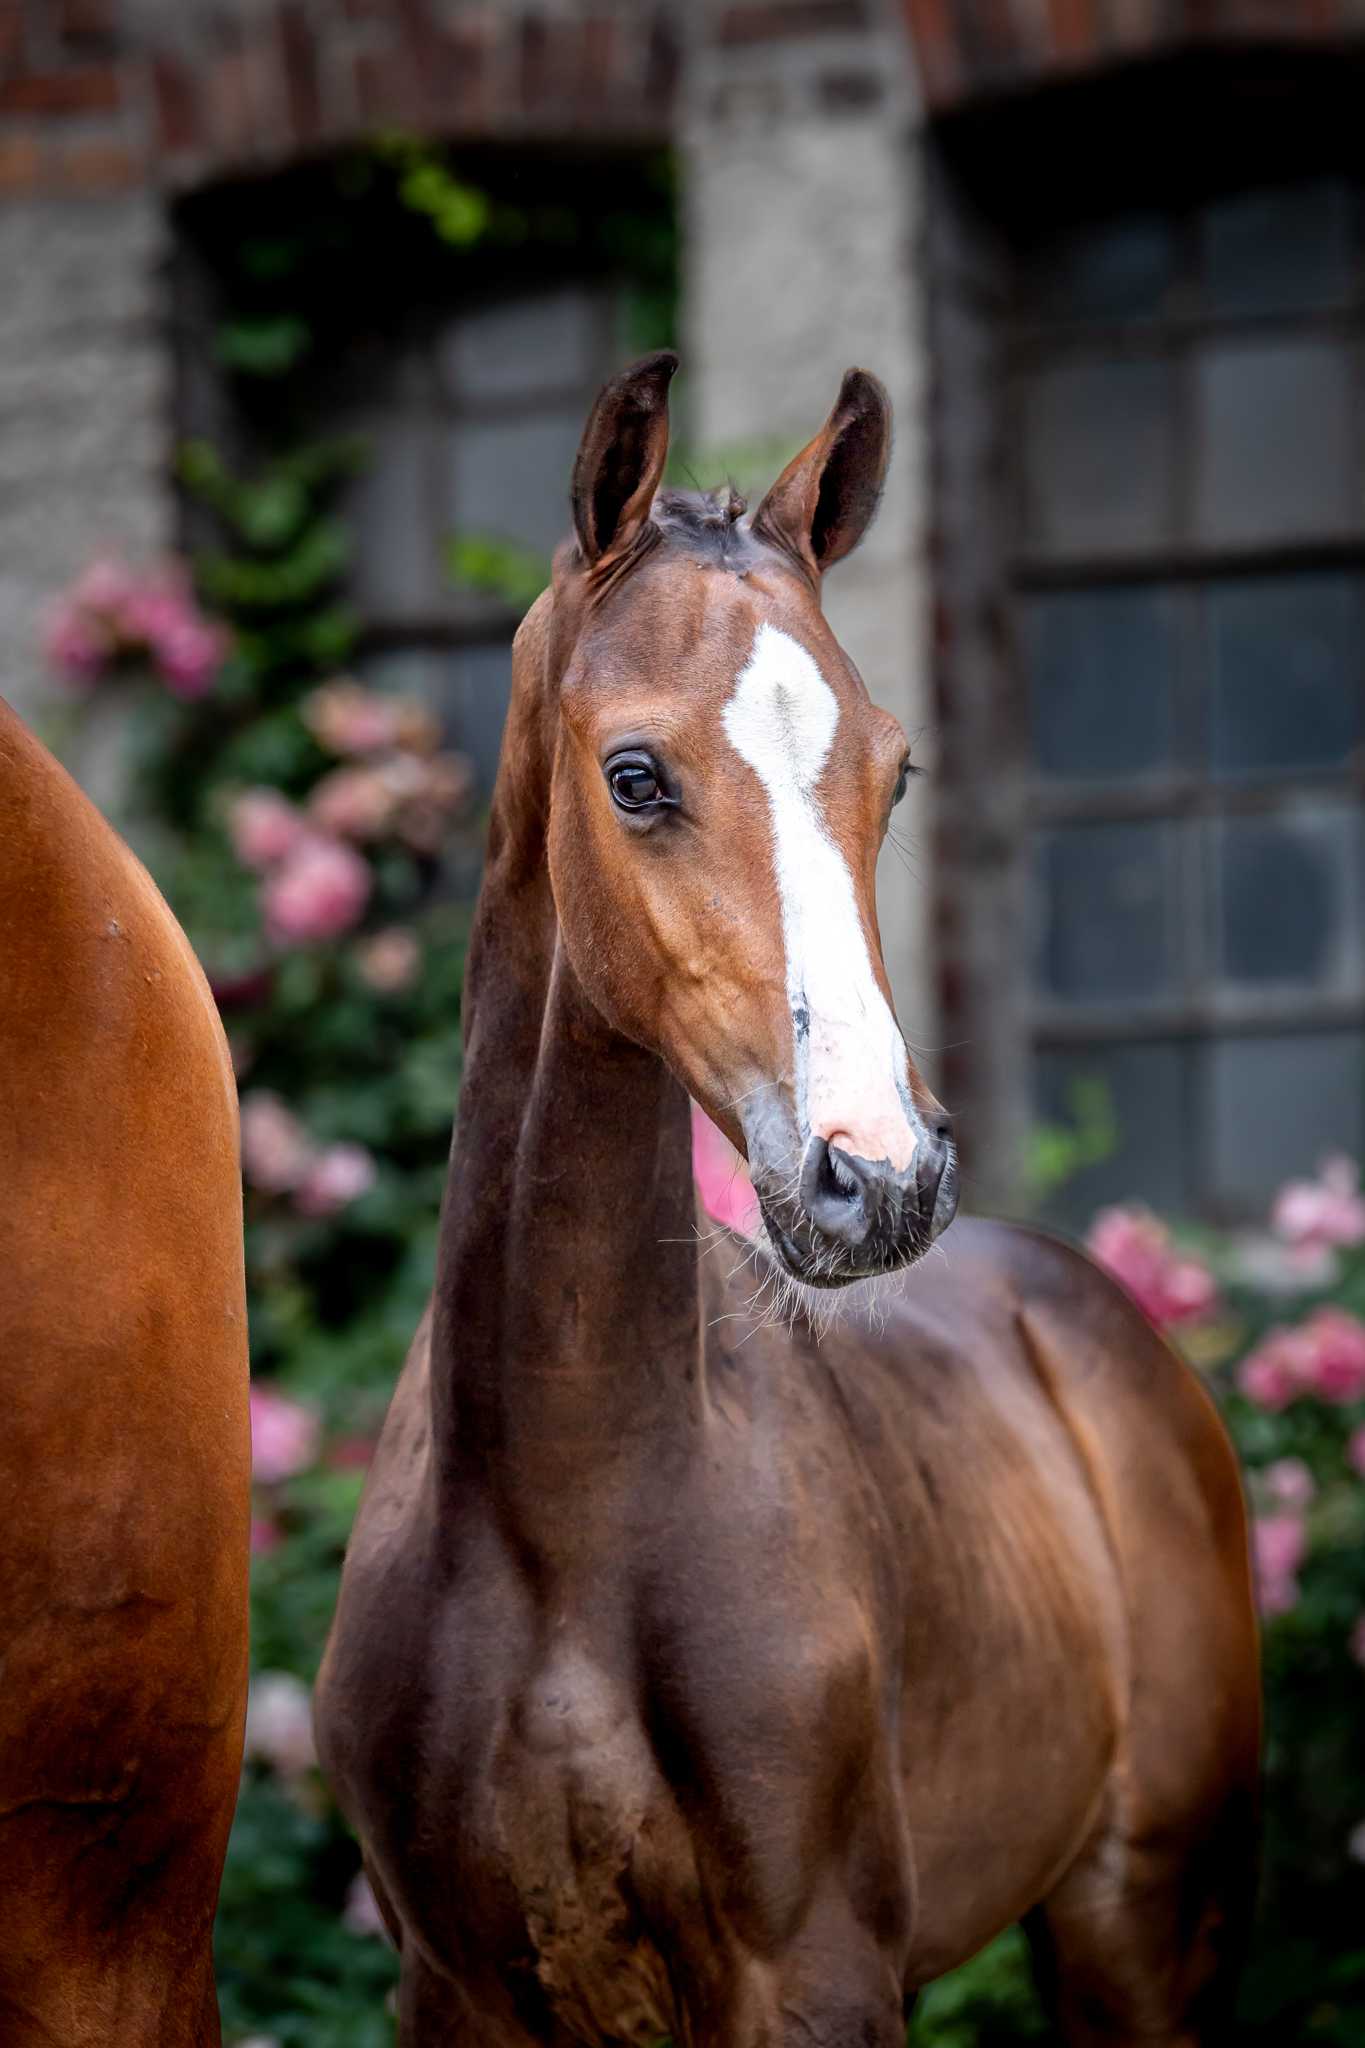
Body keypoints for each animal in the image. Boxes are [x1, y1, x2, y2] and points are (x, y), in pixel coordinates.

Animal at [315, 353, 1261, 2046]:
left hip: (1141, 1923)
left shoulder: (812, 1972)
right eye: (634, 775)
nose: (879, 1176)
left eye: (896, 770)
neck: (561, 1510)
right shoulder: (456, 1986)